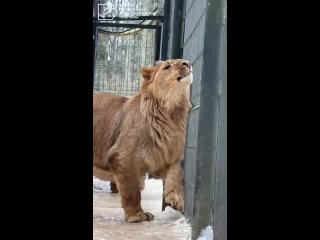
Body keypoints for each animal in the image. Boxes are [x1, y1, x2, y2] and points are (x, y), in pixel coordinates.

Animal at [92, 58, 192, 223]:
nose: (187, 63)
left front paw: (175, 198)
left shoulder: (164, 154)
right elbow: (131, 190)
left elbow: (177, 172)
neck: (172, 112)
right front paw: (136, 215)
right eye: (167, 66)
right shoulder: (124, 156)